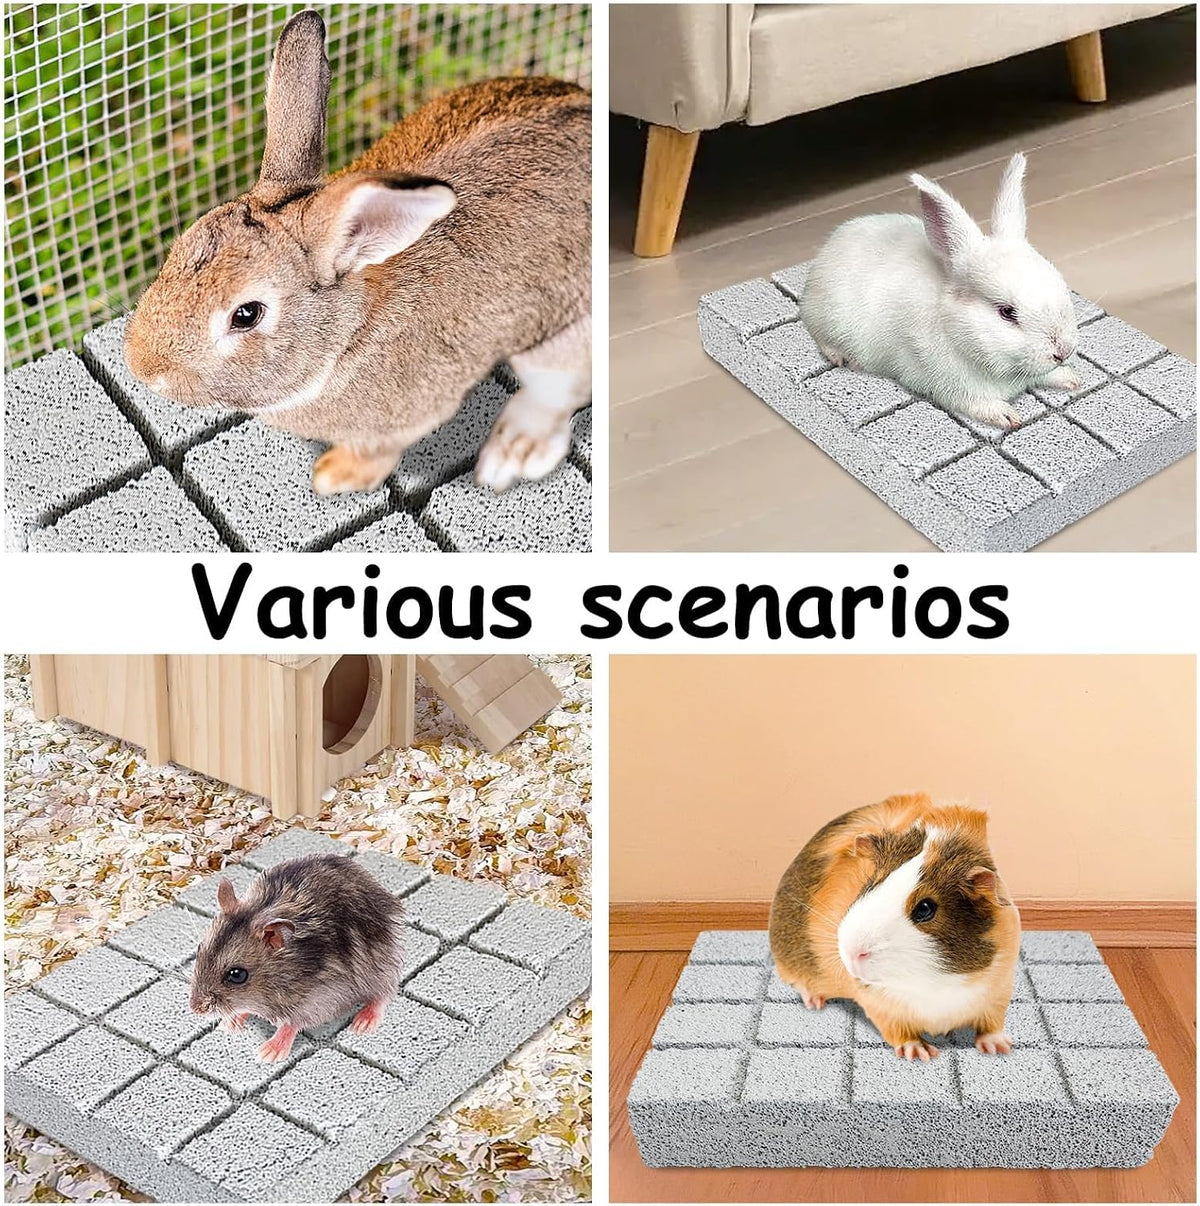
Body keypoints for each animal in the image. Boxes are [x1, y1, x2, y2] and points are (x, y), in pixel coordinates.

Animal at [124, 10, 590, 495]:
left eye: (246, 314)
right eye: (181, 246)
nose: (142, 366)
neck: (346, 337)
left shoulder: (409, 413)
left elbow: (376, 452)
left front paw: (332, 476)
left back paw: (512, 455)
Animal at [799, 154, 1080, 429]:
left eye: (1059, 282)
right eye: (1007, 312)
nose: (1063, 351)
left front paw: (1070, 379)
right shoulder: (950, 387)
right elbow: (976, 404)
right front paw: (1006, 416)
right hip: (828, 319)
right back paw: (844, 358)